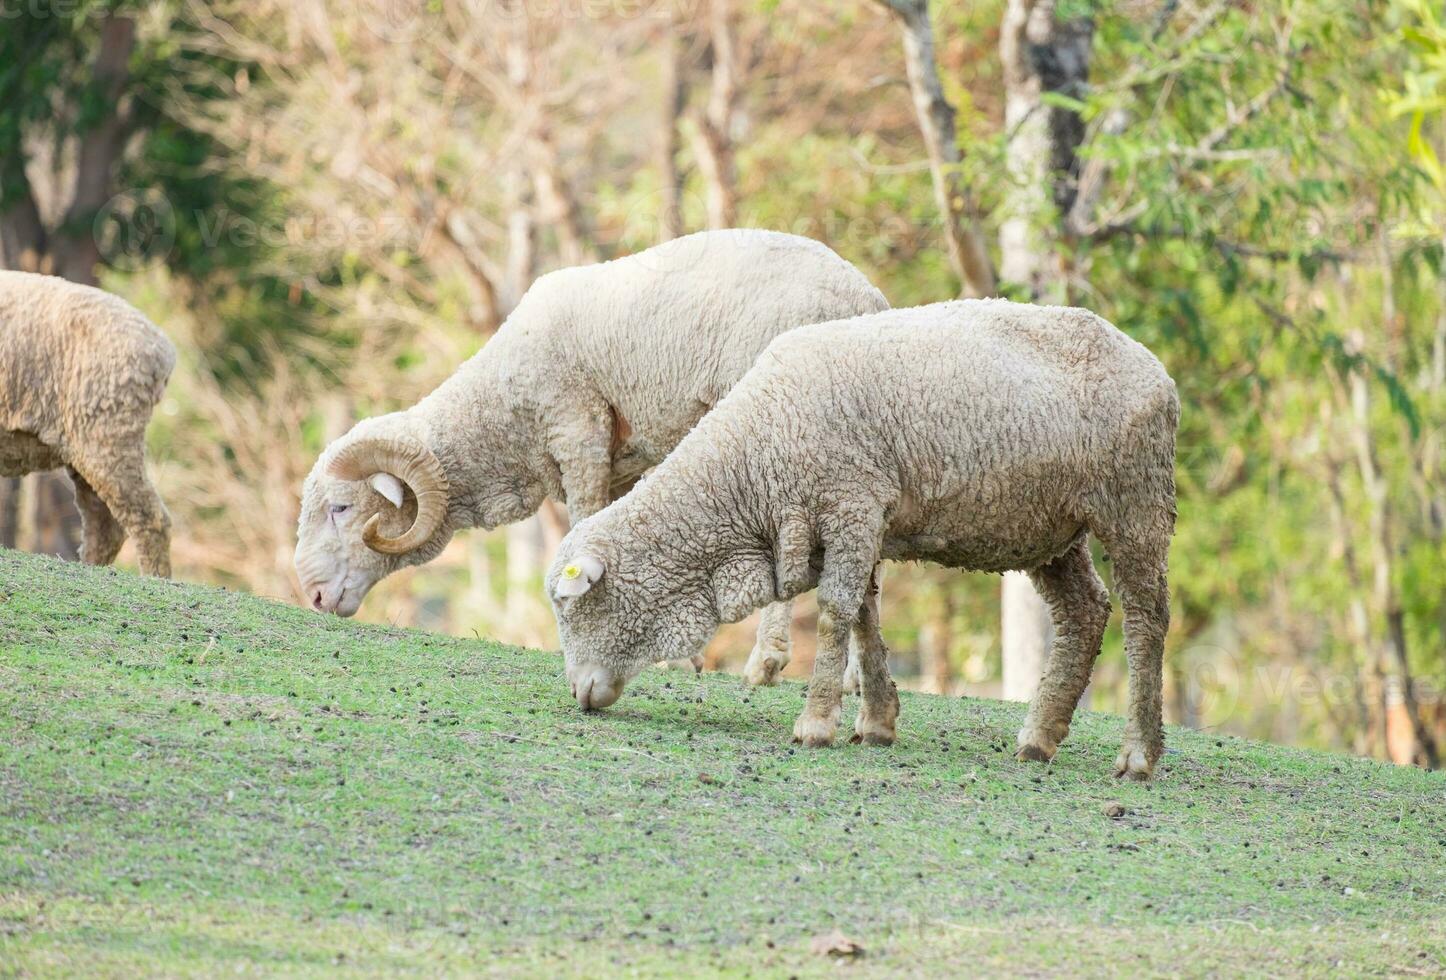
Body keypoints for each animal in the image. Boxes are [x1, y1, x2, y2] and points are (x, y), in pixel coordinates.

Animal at [0, 270, 177, 575]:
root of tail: (162, 349)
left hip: (106, 434)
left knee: (151, 519)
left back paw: (155, 578)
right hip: (88, 441)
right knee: (104, 524)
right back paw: (90, 568)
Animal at [293, 229, 884, 682]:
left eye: (341, 508)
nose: (315, 598)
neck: (501, 407)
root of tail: (866, 299)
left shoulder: (578, 432)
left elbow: (584, 524)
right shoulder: (621, 463)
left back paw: (766, 662)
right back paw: (858, 678)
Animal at [546, 299, 1179, 780]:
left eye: (573, 607)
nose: (579, 694)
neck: (750, 466)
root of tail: (1155, 366)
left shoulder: (850, 504)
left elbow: (833, 613)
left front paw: (815, 723)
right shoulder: (861, 517)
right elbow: (864, 618)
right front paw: (876, 721)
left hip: (1137, 501)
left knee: (1146, 621)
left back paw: (1138, 755)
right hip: (1049, 526)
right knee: (1085, 612)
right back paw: (1039, 738)